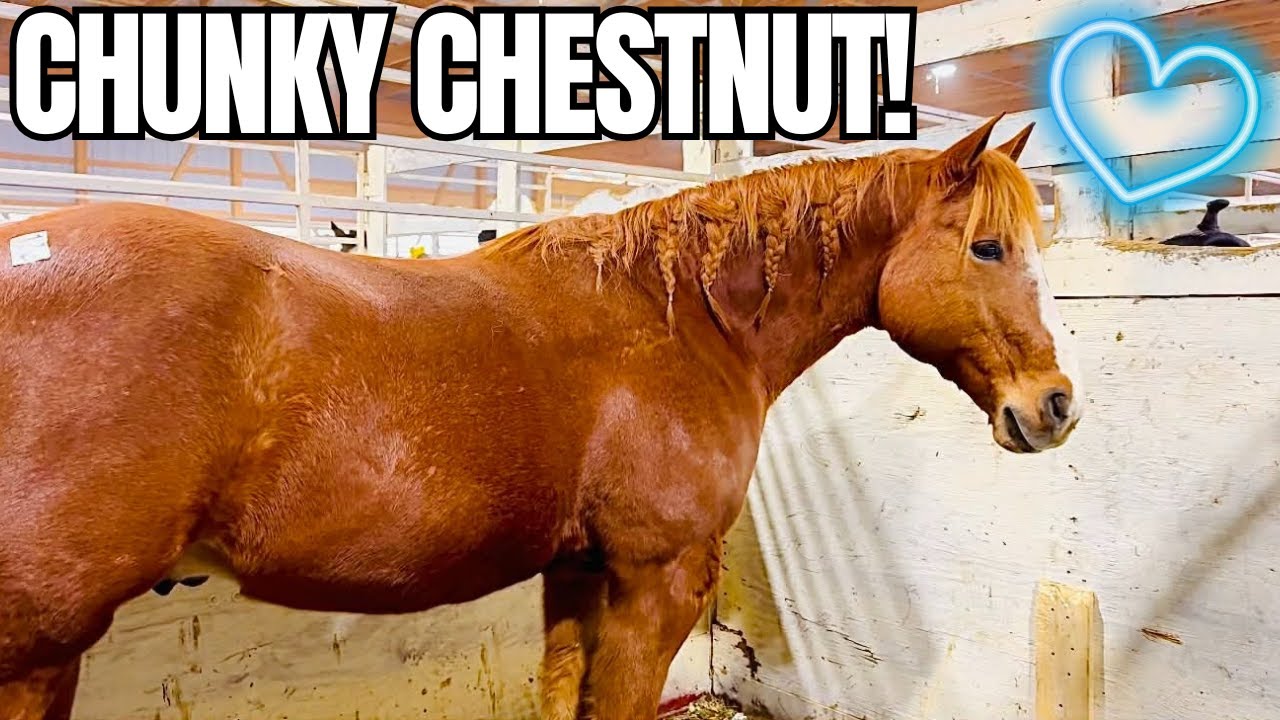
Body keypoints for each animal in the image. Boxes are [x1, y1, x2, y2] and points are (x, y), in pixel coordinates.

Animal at [0, 115, 1082, 720]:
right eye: (987, 247)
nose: (1055, 407)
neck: (675, 319)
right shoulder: (656, 580)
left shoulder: (577, 571)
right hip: (40, 647)